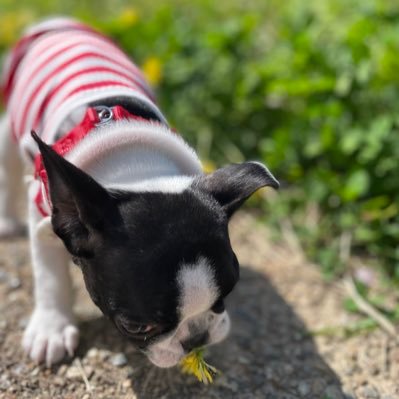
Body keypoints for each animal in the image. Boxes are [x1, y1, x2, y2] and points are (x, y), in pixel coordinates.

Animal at [0, 18, 280, 368]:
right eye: (136, 327)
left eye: (226, 294)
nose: (197, 337)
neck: (134, 171)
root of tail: (59, 22)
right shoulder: (43, 214)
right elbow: (51, 275)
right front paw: (51, 329)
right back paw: (7, 221)